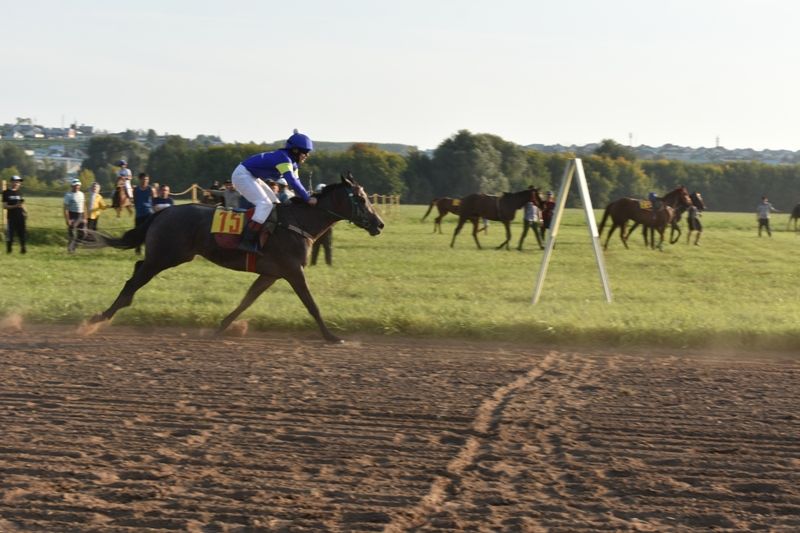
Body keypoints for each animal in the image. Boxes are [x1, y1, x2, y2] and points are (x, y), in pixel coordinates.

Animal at [86, 172, 384, 342]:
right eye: (360, 198)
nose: (379, 224)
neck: (298, 222)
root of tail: (164, 211)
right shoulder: (293, 270)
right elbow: (312, 304)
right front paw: (331, 336)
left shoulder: (271, 273)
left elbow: (247, 300)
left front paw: (221, 327)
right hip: (165, 256)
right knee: (134, 279)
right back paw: (99, 318)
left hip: (170, 256)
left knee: (137, 270)